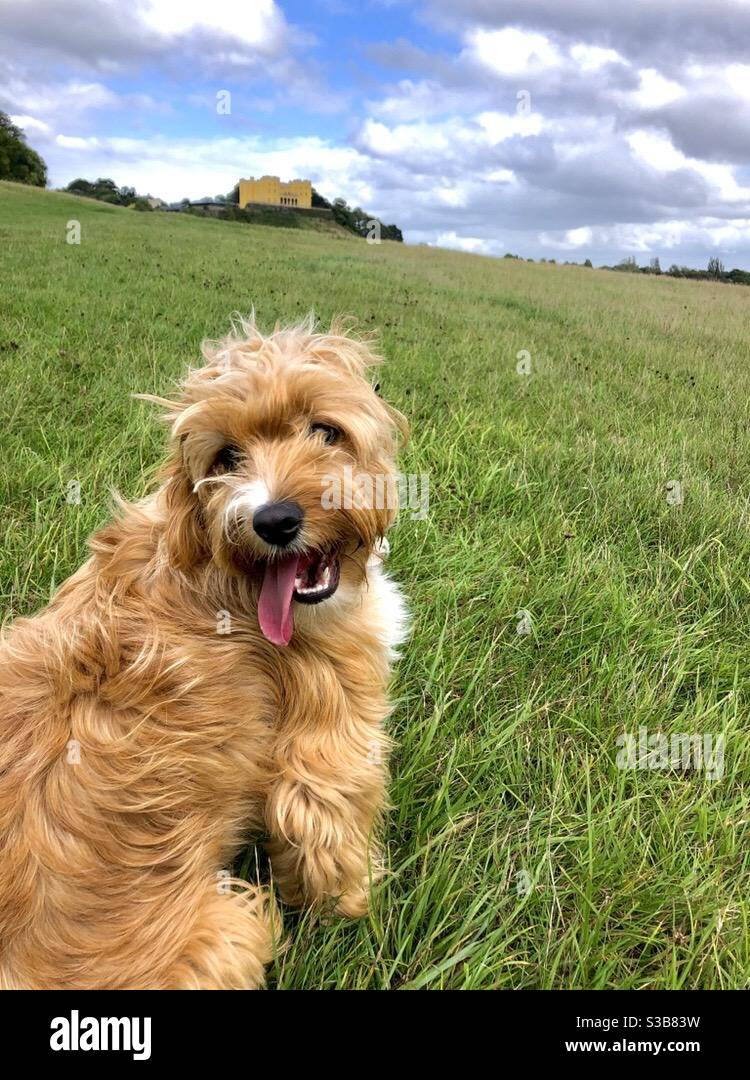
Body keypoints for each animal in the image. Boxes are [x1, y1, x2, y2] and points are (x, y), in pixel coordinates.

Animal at [0, 315, 408, 989]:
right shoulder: (329, 745)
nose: (273, 521)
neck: (215, 567)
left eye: (326, 431)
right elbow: (328, 832)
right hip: (227, 929)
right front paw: (357, 910)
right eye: (227, 456)